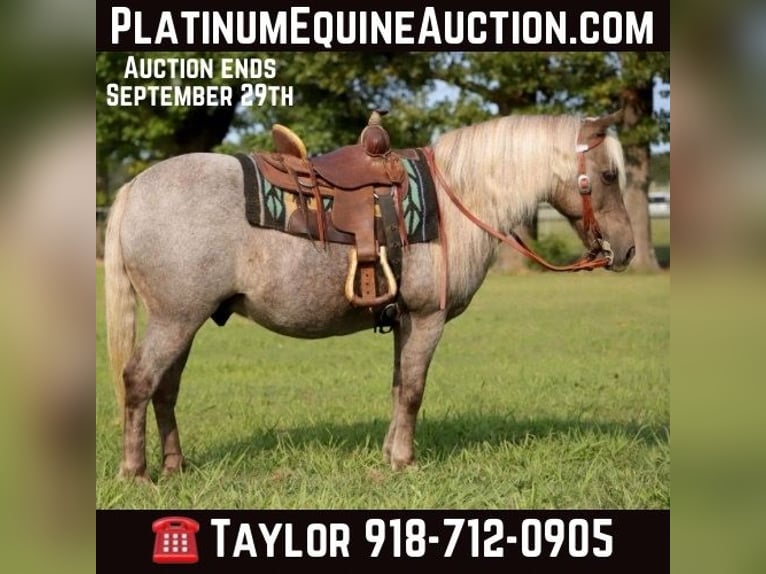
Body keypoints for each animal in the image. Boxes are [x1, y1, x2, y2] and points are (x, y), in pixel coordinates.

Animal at [104, 110, 635, 481]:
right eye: (609, 175)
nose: (626, 249)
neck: (453, 201)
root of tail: (133, 189)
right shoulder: (426, 318)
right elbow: (415, 390)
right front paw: (405, 461)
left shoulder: (403, 320)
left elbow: (399, 387)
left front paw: (387, 454)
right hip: (175, 319)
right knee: (138, 380)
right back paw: (136, 473)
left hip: (183, 320)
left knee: (165, 389)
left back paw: (175, 465)